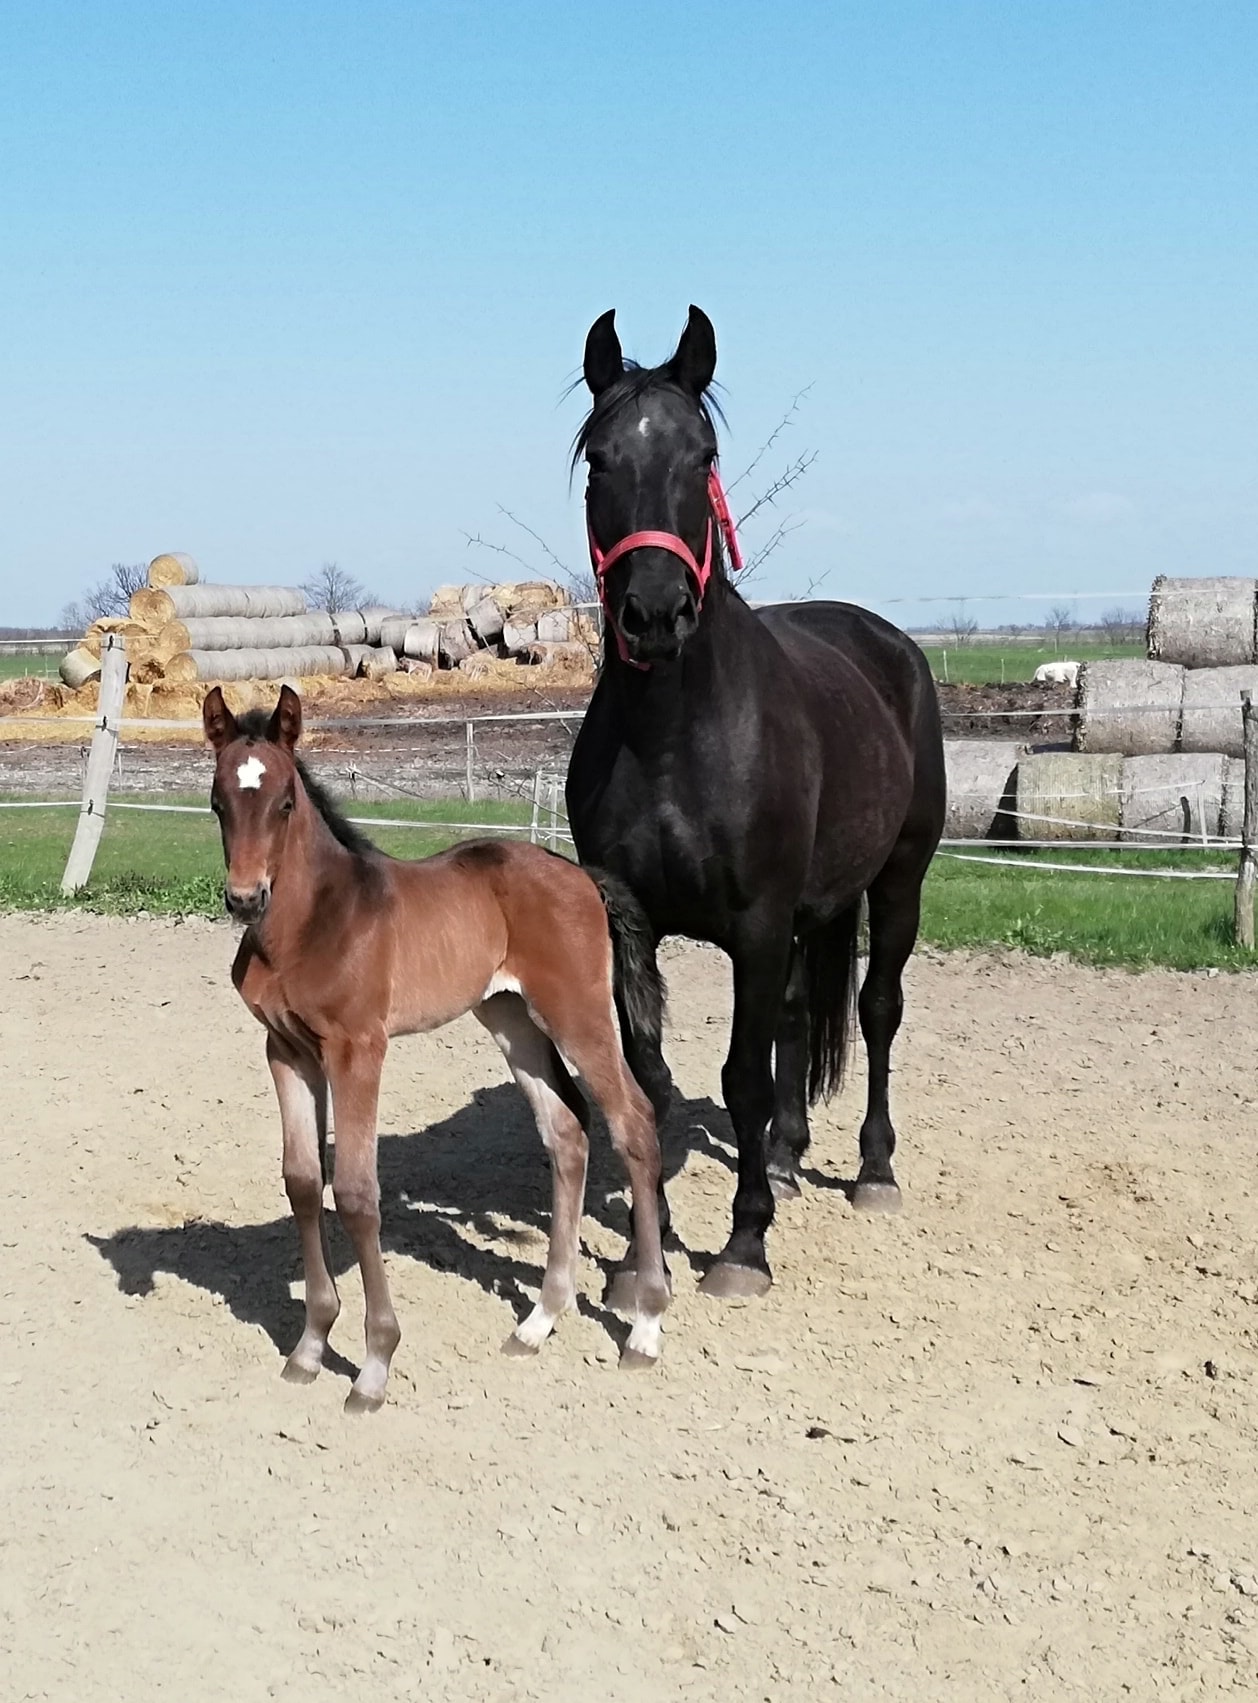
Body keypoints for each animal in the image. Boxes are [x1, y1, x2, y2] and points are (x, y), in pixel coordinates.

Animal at [206, 681, 670, 1410]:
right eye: (219, 801)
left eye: (283, 803)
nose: (246, 898)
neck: (311, 923)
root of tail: (579, 875)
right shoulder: (286, 1051)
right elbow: (303, 1181)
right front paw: (310, 1345)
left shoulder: (357, 1050)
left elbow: (357, 1190)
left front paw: (374, 1364)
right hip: (510, 1018)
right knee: (566, 1130)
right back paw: (539, 1320)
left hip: (580, 1015)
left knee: (634, 1123)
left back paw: (645, 1327)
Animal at [568, 306, 946, 1294]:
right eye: (601, 459)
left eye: (701, 454)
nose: (655, 614)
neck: (672, 735)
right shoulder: (629, 921)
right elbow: (646, 1076)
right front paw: (643, 1250)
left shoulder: (759, 920)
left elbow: (742, 1075)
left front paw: (744, 1243)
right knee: (796, 1019)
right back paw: (783, 1150)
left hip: (897, 883)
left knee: (877, 1010)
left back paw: (873, 1169)